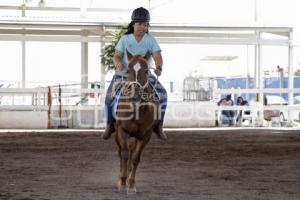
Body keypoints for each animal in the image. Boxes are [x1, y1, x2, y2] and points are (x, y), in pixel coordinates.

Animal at [115, 50, 161, 193]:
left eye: (146, 71)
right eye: (128, 70)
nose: (134, 97)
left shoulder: (145, 135)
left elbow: (135, 158)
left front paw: (131, 184)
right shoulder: (122, 130)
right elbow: (124, 155)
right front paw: (123, 182)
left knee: (131, 153)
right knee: (121, 152)